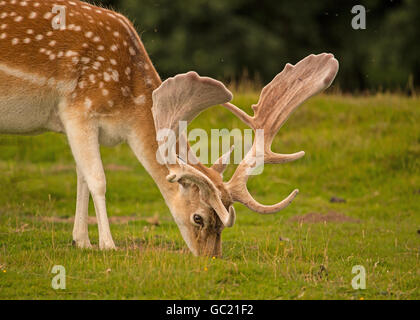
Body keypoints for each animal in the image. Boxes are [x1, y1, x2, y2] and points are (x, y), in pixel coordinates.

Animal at [0, 0, 338, 255]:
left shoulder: (80, 124)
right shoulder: (78, 109)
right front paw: (107, 245)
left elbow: (81, 177)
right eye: (199, 217)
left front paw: (81, 241)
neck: (125, 106)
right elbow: (98, 179)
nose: (211, 258)